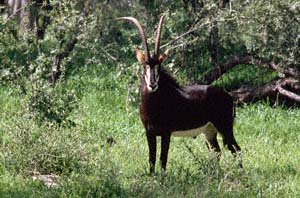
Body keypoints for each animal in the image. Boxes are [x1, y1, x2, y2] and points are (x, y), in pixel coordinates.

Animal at [117, 15, 241, 173]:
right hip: (209, 131)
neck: (152, 104)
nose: (152, 84)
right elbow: (151, 159)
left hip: (225, 127)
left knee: (236, 149)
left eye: (159, 66)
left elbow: (163, 159)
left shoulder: (166, 133)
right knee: (217, 151)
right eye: (144, 65)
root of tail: (228, 95)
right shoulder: (149, 132)